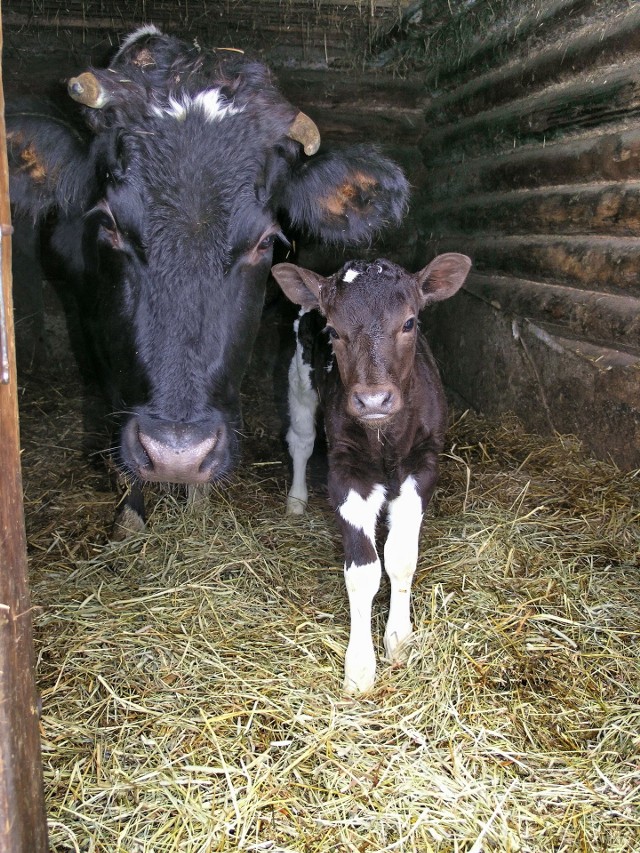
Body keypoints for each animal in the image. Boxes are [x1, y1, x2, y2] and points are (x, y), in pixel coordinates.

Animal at [8, 26, 410, 536]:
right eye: (109, 225)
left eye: (266, 240)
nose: (177, 455)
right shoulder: (89, 319)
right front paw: (131, 512)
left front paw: (196, 500)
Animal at [270, 253, 470, 692]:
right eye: (332, 329)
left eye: (410, 322)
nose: (374, 399)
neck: (386, 439)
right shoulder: (347, 473)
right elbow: (363, 572)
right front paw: (360, 667)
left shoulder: (423, 465)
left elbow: (401, 557)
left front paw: (399, 639)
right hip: (299, 380)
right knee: (301, 439)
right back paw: (295, 500)